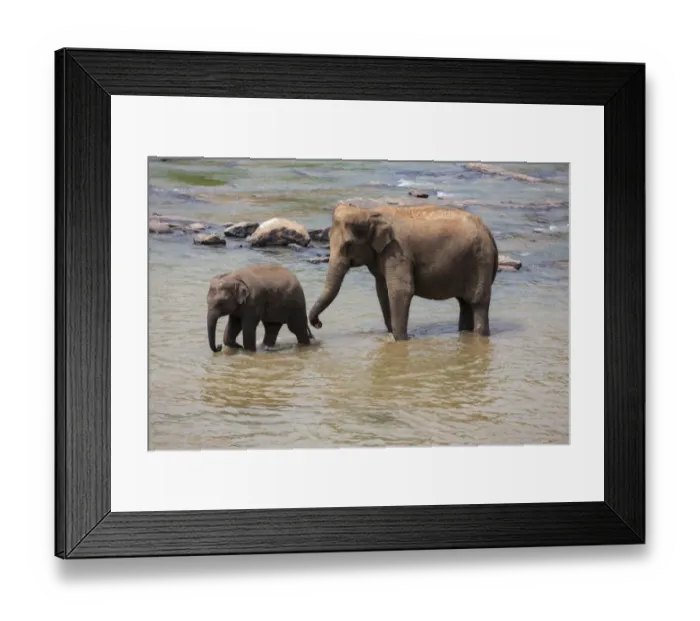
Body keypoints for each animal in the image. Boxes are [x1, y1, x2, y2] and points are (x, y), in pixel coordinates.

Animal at [308, 204, 499, 340]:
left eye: (348, 245)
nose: (318, 324)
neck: (369, 212)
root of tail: (489, 232)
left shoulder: (398, 252)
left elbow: (401, 291)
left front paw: (401, 339)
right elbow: (382, 291)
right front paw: (392, 335)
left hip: (480, 261)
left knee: (477, 302)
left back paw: (479, 335)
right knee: (464, 303)